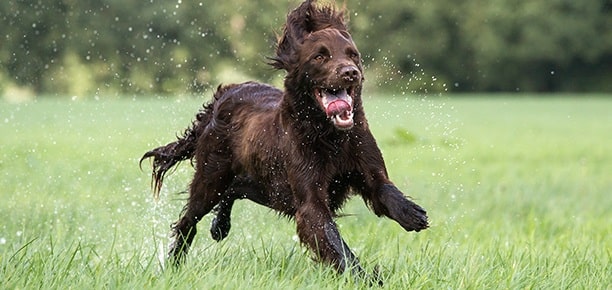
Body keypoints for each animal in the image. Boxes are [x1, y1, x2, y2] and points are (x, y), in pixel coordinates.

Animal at [140, 0, 426, 284]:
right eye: (320, 56)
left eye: (353, 55)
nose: (350, 73)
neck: (329, 136)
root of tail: (225, 93)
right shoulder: (310, 201)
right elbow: (335, 243)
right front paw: (365, 278)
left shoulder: (367, 167)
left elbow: (385, 190)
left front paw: (412, 214)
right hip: (211, 178)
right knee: (188, 220)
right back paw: (174, 263)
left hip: (261, 183)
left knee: (234, 190)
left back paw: (219, 226)